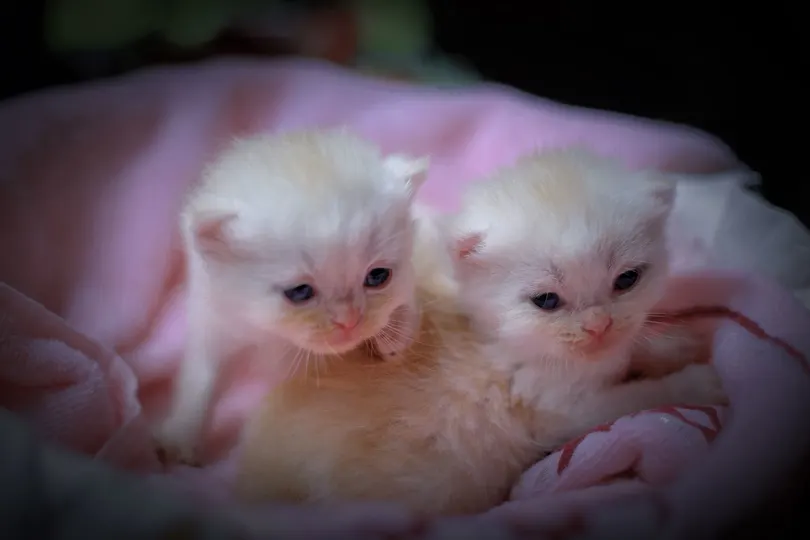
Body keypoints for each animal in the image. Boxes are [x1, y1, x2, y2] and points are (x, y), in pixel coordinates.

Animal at [155, 130, 430, 465]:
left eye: (378, 276)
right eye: (300, 292)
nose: (349, 321)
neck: (279, 340)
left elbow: (410, 291)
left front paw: (396, 333)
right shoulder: (213, 315)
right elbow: (202, 378)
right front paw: (180, 437)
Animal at [233, 149, 727, 515]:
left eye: (627, 280)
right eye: (546, 301)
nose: (598, 325)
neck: (493, 336)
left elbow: (632, 350)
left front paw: (675, 343)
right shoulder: (559, 408)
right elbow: (635, 399)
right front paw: (699, 383)